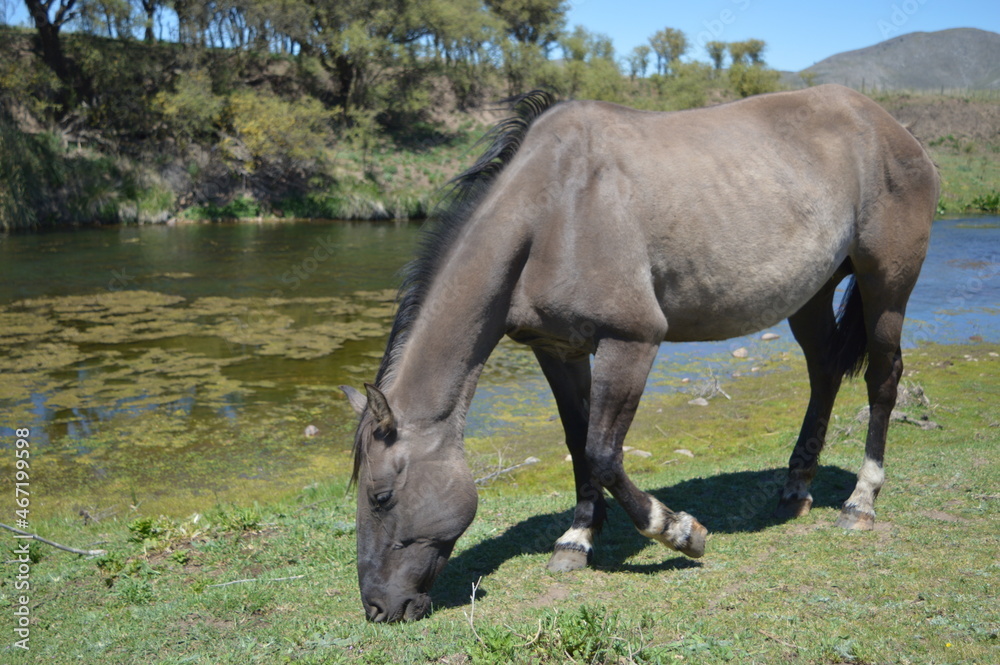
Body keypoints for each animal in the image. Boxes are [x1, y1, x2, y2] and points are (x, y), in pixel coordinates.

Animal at [341, 84, 939, 622]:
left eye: (381, 497)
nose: (378, 607)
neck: (553, 211)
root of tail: (894, 128)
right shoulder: (557, 349)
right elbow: (578, 444)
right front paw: (577, 538)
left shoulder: (631, 342)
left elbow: (604, 452)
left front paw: (679, 532)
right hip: (811, 295)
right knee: (824, 373)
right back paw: (796, 490)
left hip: (886, 286)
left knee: (883, 380)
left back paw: (861, 501)